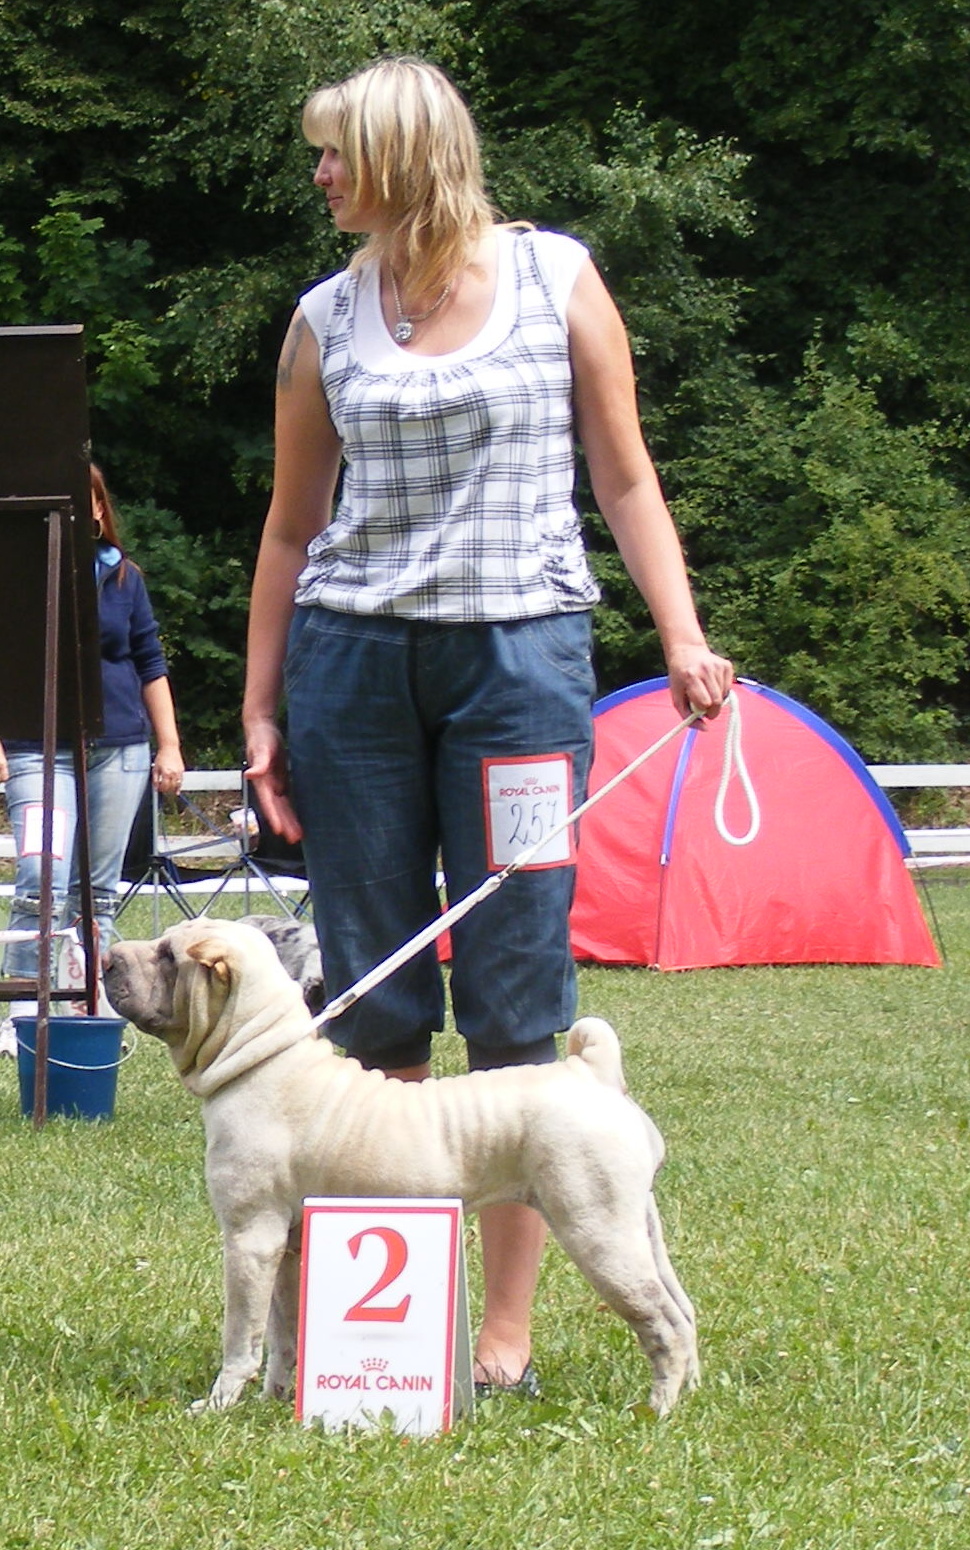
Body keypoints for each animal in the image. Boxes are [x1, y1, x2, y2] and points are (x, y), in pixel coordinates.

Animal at [103, 917, 694, 1419]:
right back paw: (689, 1393)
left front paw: (218, 1405)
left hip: (597, 1232)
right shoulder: (285, 1249)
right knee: (684, 1315)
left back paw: (658, 1410)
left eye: (168, 954)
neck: (259, 1056)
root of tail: (591, 1073)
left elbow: (240, 1338)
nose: (107, 956)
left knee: (661, 1324)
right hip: (637, 1229)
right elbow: (281, 1337)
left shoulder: (249, 1239)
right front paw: (274, 1399)